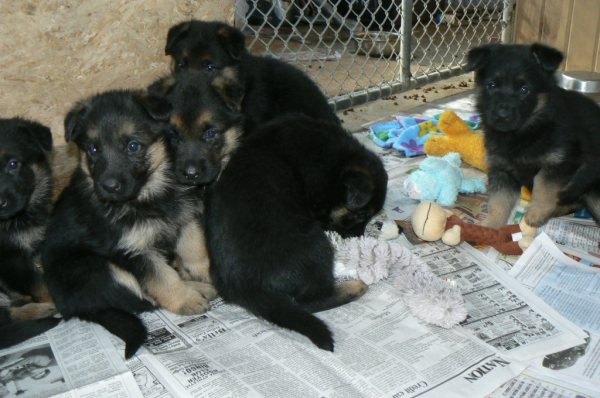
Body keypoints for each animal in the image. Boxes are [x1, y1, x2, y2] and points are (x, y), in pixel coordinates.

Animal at [42, 90, 217, 358]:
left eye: (133, 146)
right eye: (93, 149)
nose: (109, 186)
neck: (148, 196)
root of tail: (76, 310)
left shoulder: (185, 218)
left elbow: (195, 251)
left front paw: (208, 273)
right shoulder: (132, 251)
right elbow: (161, 278)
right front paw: (185, 300)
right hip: (93, 267)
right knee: (140, 300)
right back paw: (193, 290)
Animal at [204, 112, 386, 352]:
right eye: (360, 215)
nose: (358, 239)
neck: (338, 161)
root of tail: (247, 288)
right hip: (317, 247)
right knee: (309, 301)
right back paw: (354, 287)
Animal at [466, 43, 600, 227]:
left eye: (524, 90)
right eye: (491, 86)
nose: (502, 116)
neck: (525, 131)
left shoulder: (560, 164)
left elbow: (542, 184)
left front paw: (537, 212)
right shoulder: (501, 172)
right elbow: (498, 203)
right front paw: (490, 227)